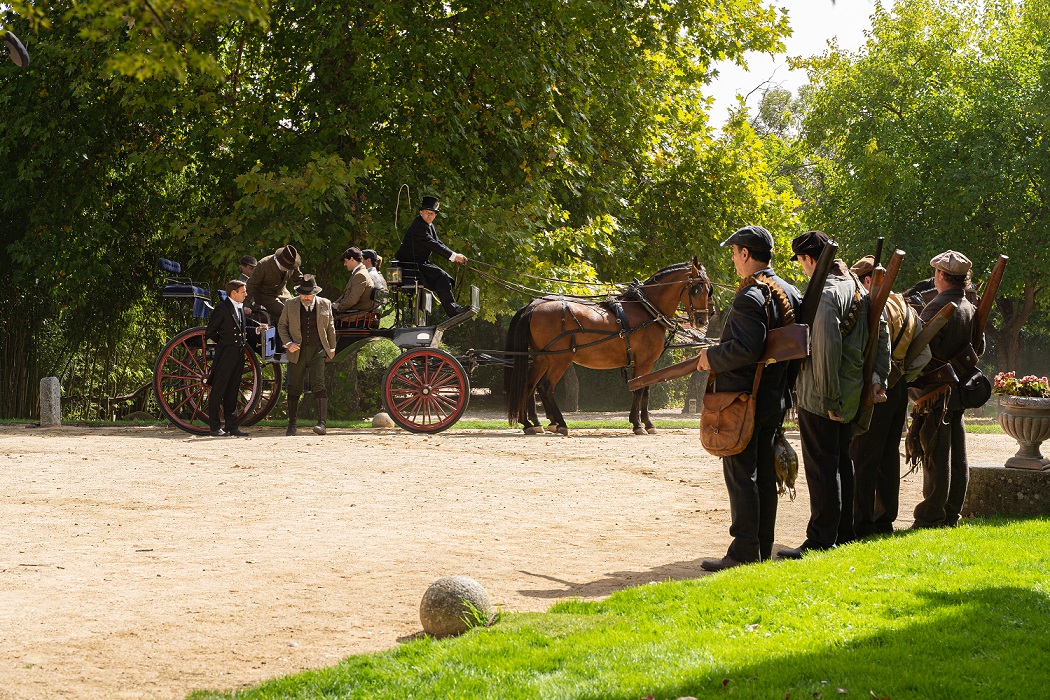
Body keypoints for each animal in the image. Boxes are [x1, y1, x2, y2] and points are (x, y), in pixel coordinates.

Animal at [501, 260, 713, 434]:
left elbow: (644, 390)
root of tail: (533, 307)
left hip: (541, 358)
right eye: (698, 289)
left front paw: (644, 423)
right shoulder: (645, 361)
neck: (647, 309)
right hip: (559, 359)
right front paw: (639, 424)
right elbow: (640, 390)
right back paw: (560, 424)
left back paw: (530, 423)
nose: (703, 320)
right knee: (545, 387)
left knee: (529, 385)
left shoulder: (643, 362)